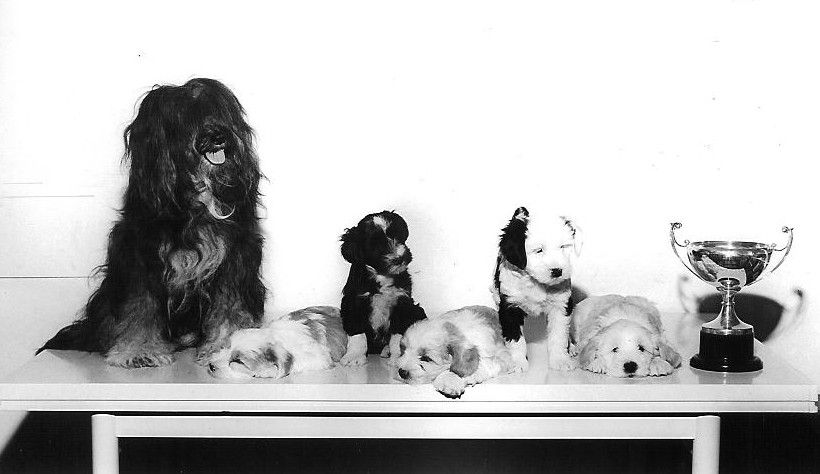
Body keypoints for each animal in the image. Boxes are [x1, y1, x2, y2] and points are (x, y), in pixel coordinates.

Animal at [38, 78, 264, 368]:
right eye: (186, 117)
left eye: (219, 111)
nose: (219, 137)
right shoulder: (139, 257)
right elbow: (139, 308)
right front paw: (138, 351)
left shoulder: (235, 257)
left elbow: (230, 306)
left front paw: (227, 345)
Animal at [340, 210, 430, 366]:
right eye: (375, 246)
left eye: (397, 236)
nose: (399, 258)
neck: (382, 276)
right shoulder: (354, 302)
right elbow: (357, 333)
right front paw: (354, 356)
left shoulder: (401, 302)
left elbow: (397, 334)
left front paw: (398, 356)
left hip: (416, 310)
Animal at [490, 207, 580, 374]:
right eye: (539, 250)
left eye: (563, 247)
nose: (557, 271)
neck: (535, 282)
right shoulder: (509, 306)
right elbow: (515, 338)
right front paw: (518, 362)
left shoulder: (561, 304)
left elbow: (559, 334)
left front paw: (560, 360)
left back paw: (571, 348)